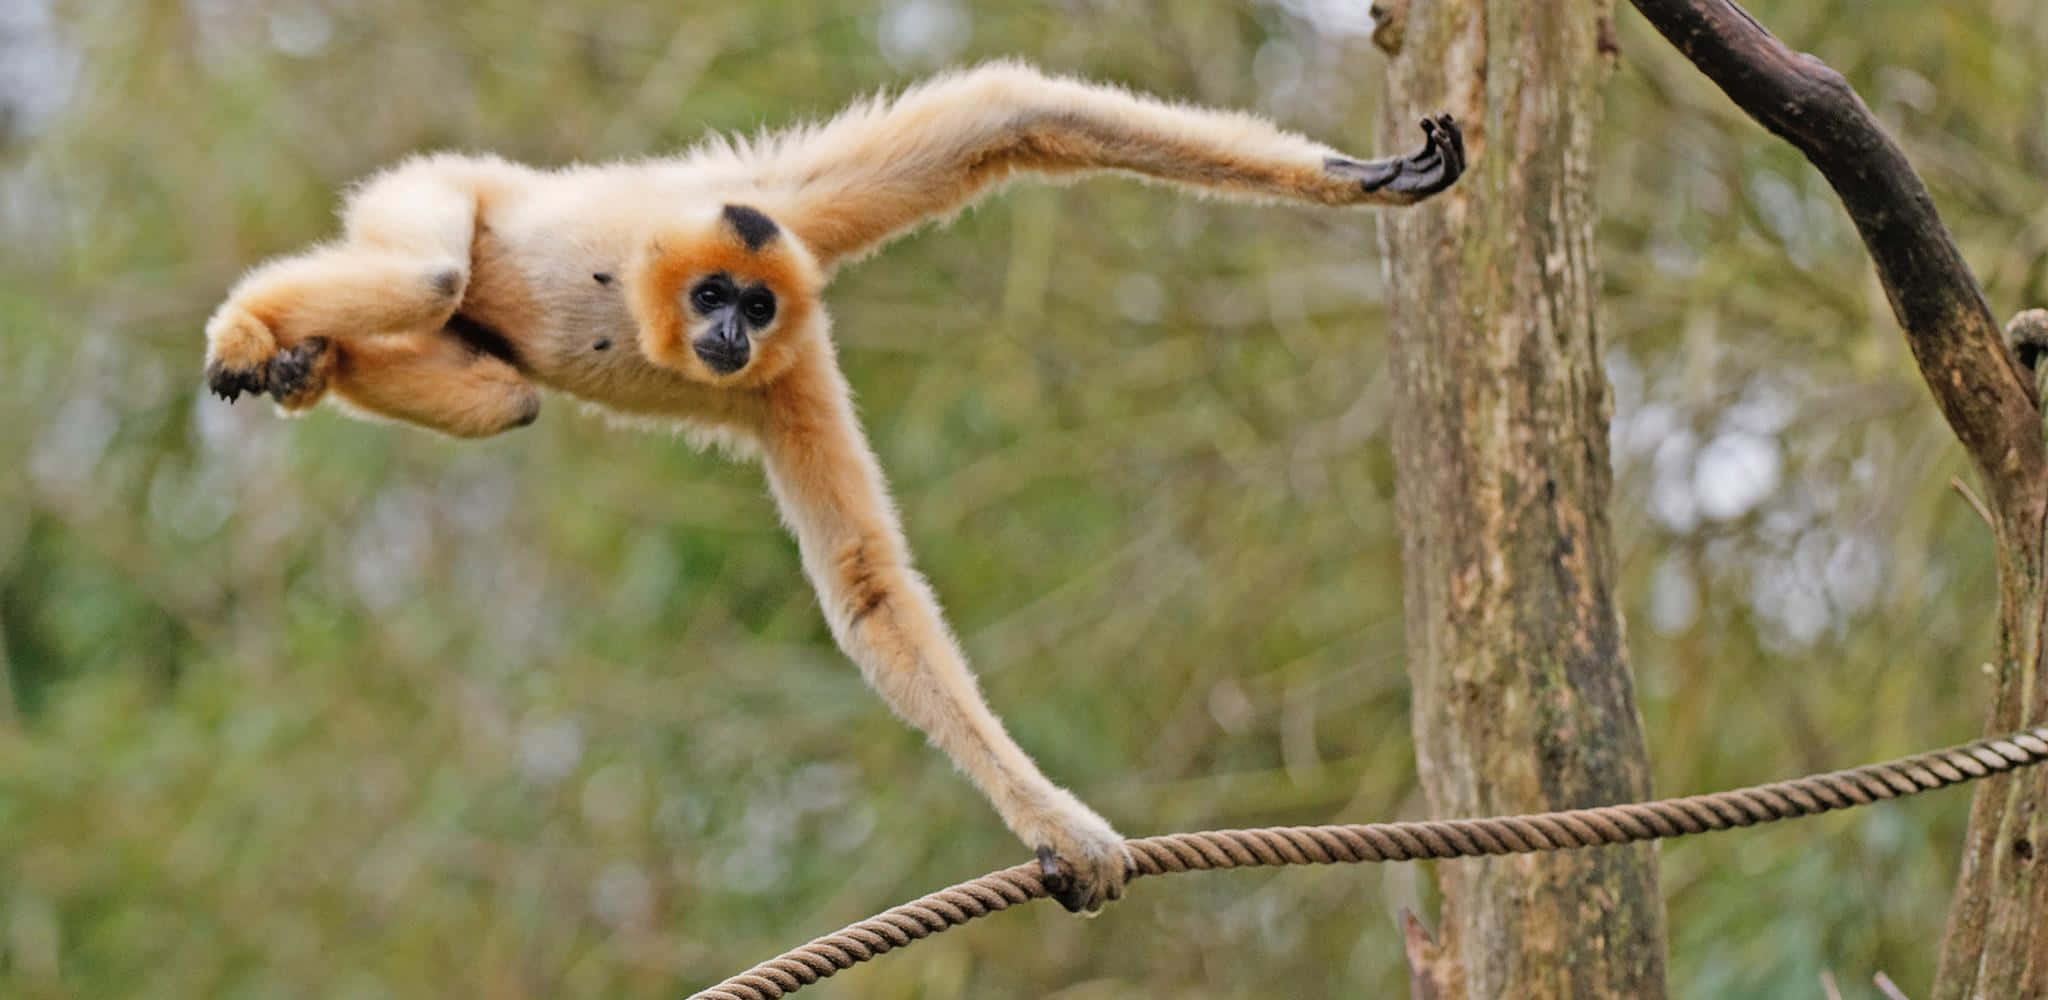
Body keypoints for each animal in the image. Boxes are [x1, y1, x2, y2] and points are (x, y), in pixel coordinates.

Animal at [201, 62, 1466, 913]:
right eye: (713, 294)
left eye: (754, 306)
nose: (728, 329)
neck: (637, 298)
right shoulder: (763, 237)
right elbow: (1006, 113)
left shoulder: (790, 339)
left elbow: (868, 587)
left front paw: (1358, 177)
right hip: (443, 183)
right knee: (431, 269)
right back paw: (256, 330)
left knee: (501, 390)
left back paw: (312, 363)